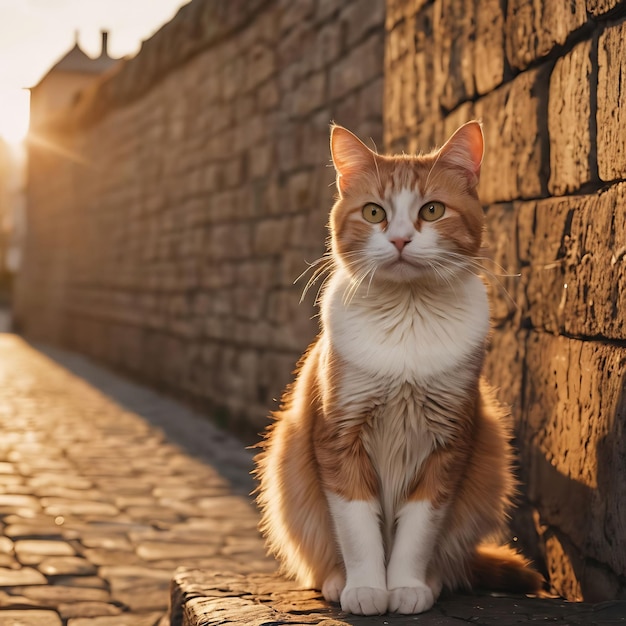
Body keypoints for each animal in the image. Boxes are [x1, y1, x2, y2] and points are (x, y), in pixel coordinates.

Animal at [254, 122, 540, 616]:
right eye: (374, 212)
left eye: (432, 210)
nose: (401, 239)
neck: (408, 317)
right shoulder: (339, 437)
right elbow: (357, 529)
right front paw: (367, 588)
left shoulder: (450, 443)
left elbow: (418, 531)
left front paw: (406, 586)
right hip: (287, 455)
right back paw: (337, 581)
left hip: (490, 458)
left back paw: (434, 581)